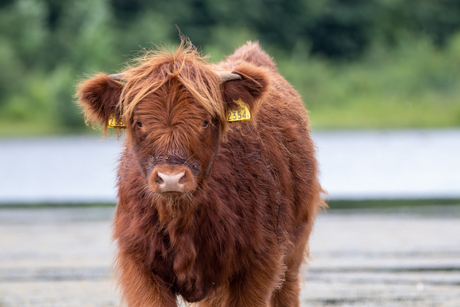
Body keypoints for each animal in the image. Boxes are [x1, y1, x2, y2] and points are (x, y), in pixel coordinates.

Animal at [76, 41, 324, 307]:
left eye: (205, 121)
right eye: (139, 122)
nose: (171, 179)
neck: (182, 220)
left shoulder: (260, 262)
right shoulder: (139, 263)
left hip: (292, 253)